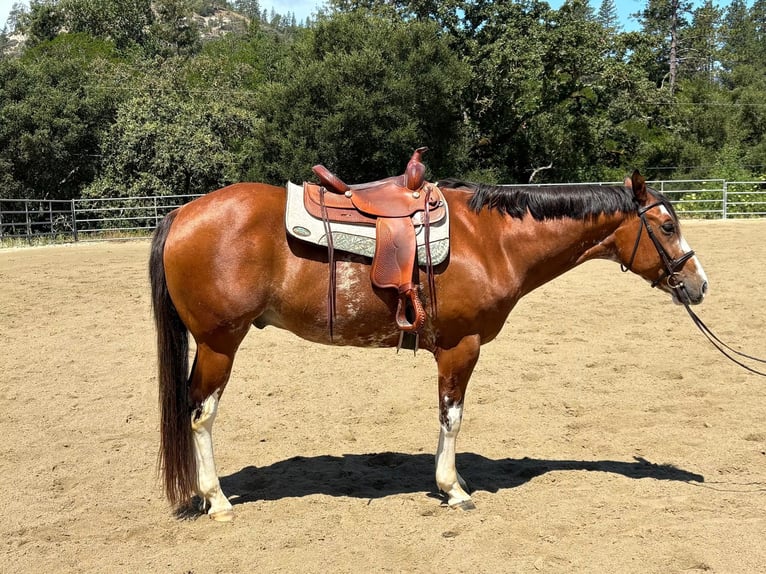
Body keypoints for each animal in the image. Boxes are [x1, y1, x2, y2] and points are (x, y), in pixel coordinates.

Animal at [149, 170, 708, 521]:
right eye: (666, 226)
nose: (699, 284)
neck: (491, 238)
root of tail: (181, 214)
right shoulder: (462, 346)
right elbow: (452, 417)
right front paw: (453, 489)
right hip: (220, 343)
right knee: (199, 415)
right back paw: (217, 500)